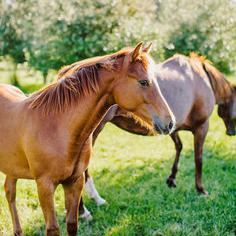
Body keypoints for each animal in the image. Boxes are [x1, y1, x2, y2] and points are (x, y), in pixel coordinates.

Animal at [0, 42, 175, 236]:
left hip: (12, 167)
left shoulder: (74, 183)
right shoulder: (45, 187)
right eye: (143, 82)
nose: (170, 122)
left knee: (10, 191)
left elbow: (72, 224)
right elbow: (53, 228)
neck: (56, 126)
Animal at [79, 53, 236, 219]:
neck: (200, 76)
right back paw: (84, 210)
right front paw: (201, 190)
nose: (231, 132)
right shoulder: (201, 127)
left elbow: (179, 147)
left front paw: (172, 179)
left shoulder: (171, 127)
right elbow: (198, 159)